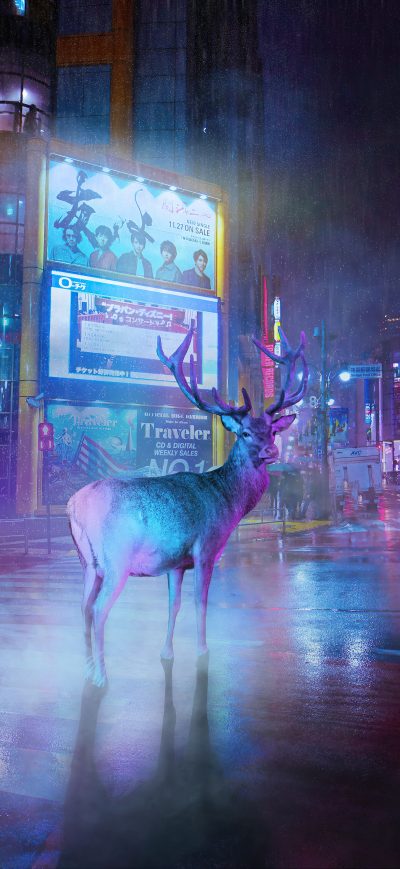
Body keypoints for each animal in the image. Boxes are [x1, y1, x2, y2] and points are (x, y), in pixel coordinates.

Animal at [67, 324, 308, 688]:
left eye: (272, 431)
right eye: (246, 433)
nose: (272, 452)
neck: (227, 500)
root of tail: (75, 506)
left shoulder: (176, 563)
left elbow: (175, 604)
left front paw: (167, 653)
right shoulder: (205, 549)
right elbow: (200, 602)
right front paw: (203, 653)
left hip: (86, 562)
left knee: (82, 607)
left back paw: (84, 668)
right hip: (117, 559)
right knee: (97, 610)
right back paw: (100, 676)